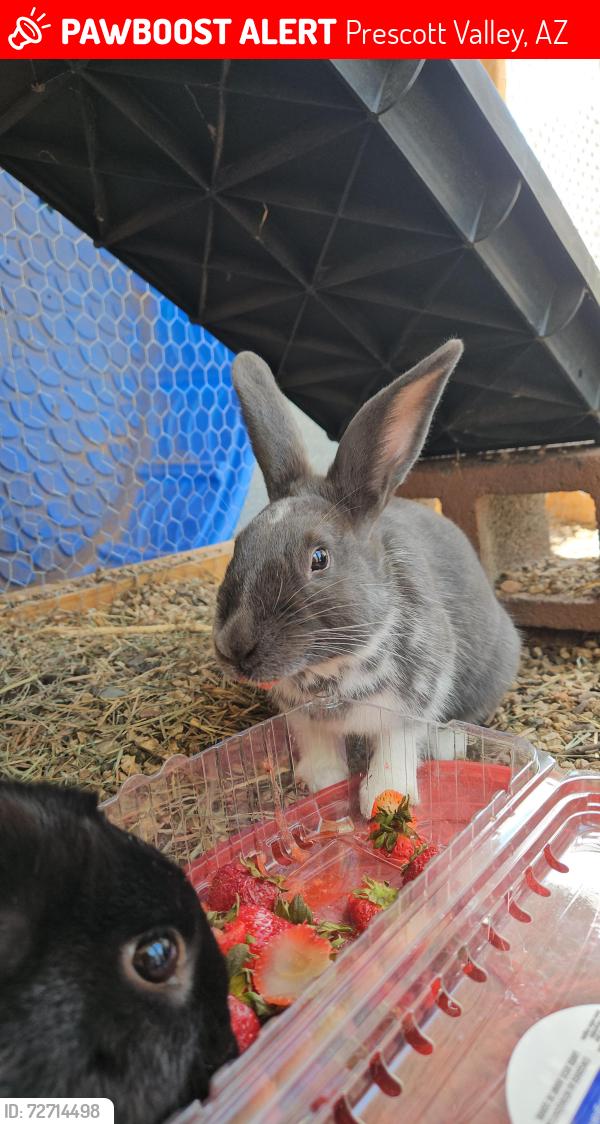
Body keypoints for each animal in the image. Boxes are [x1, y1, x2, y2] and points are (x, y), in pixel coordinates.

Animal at [213, 341, 521, 817]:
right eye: (240, 543)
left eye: (319, 558)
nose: (234, 647)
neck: (328, 670)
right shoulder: (302, 717)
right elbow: (317, 745)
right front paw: (320, 782)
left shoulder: (407, 706)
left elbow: (396, 746)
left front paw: (385, 795)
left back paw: (448, 743)